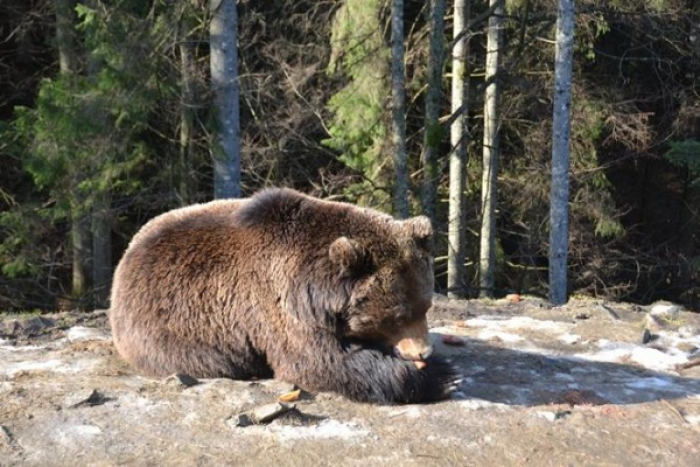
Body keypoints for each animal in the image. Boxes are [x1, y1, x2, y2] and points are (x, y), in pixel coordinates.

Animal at [109, 188, 460, 404]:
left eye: (426, 305)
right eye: (397, 316)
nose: (424, 351)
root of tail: (124, 259)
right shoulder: (280, 306)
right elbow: (321, 362)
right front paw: (441, 376)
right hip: (165, 334)